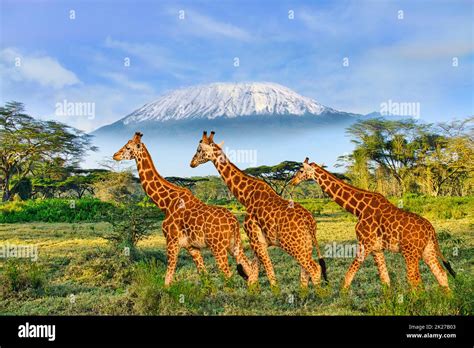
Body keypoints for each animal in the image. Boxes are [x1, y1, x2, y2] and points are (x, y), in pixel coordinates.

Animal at [113, 132, 258, 286]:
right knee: (249, 269)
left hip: (218, 247)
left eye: (128, 147)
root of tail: (234, 223)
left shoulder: (171, 242)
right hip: (235, 245)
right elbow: (204, 275)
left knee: (228, 275)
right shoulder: (192, 247)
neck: (165, 203)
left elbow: (168, 279)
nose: (115, 155)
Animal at [189, 132, 326, 290]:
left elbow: (269, 276)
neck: (246, 196)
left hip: (292, 244)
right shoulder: (259, 242)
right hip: (305, 244)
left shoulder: (254, 239)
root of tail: (310, 223)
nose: (191, 163)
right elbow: (253, 278)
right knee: (306, 272)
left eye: (198, 149)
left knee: (314, 269)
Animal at [288, 158, 456, 290]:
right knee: (441, 274)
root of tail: (431, 230)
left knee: (415, 280)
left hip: (410, 252)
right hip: (428, 250)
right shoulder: (376, 248)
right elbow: (385, 280)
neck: (358, 209)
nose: (291, 182)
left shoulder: (365, 243)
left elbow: (348, 277)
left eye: (301, 170)